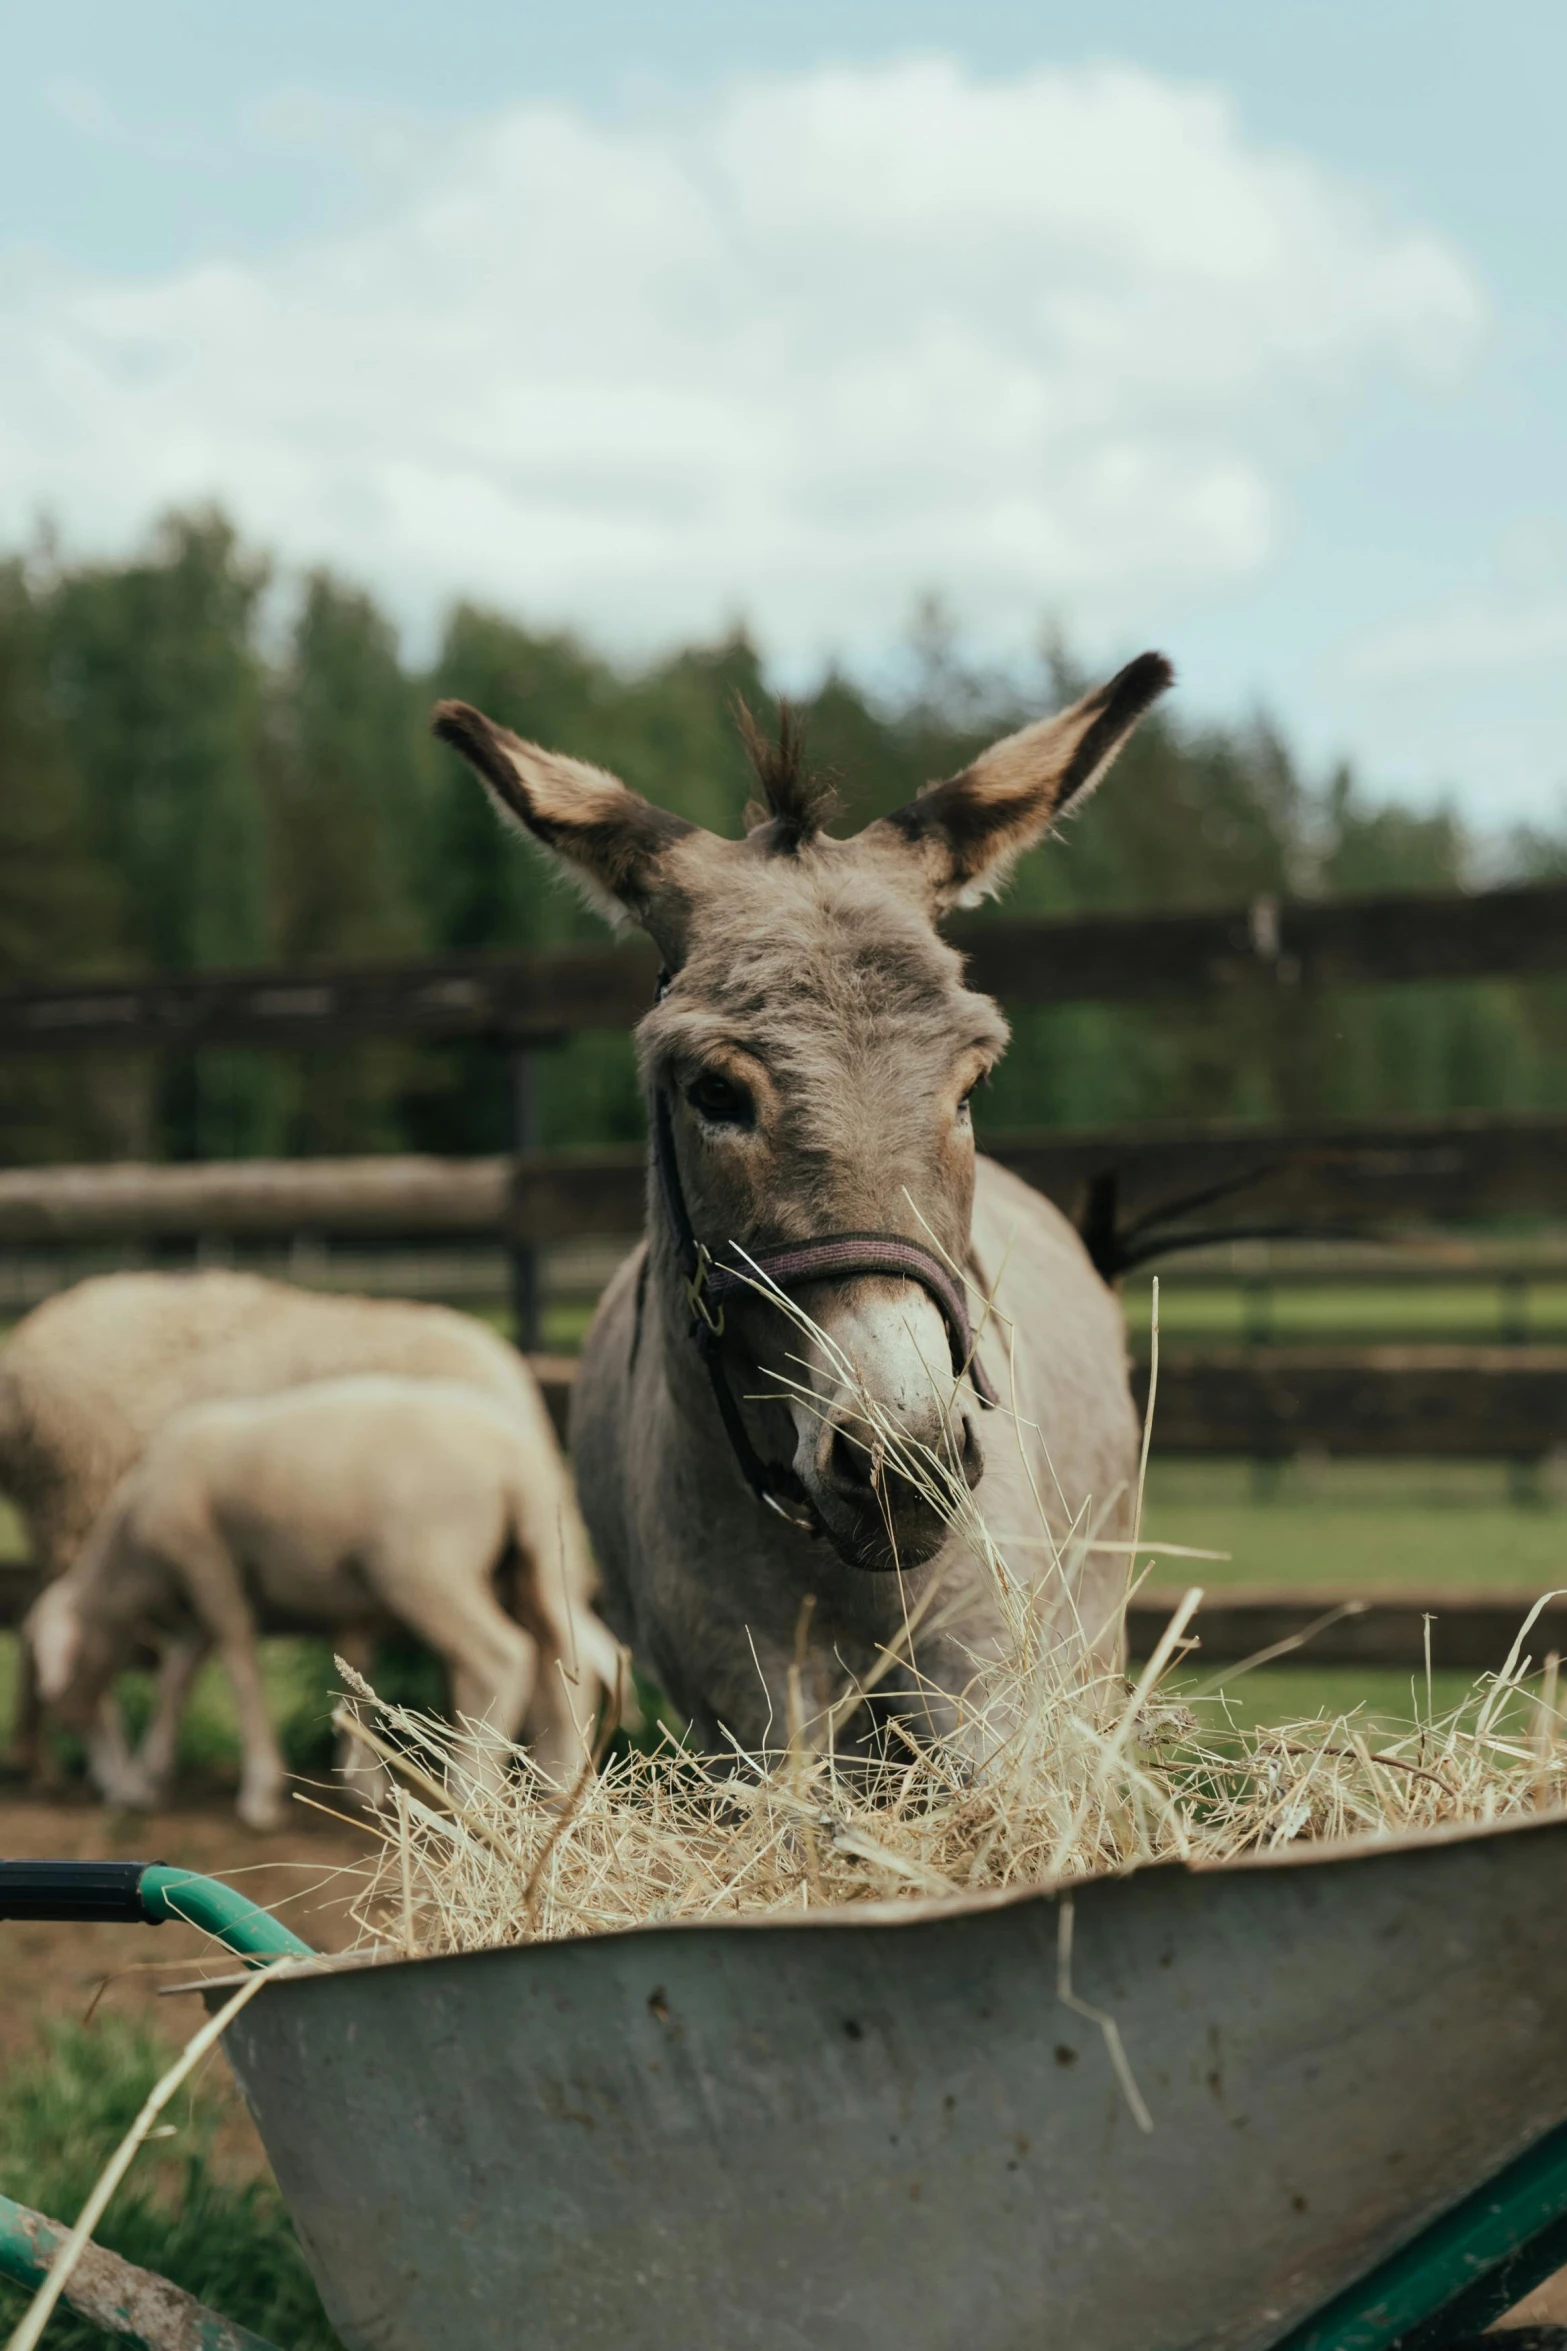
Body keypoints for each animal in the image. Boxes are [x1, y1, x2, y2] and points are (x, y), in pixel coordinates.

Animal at [27, 1372, 620, 1833]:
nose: (110, 1789)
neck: (130, 1553)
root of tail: (521, 1462)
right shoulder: (228, 1600)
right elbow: (182, 1679)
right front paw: (149, 1778)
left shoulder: (208, 1567)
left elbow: (239, 1668)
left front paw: (259, 1795)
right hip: (530, 1565)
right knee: (566, 1660)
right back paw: (558, 1797)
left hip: (428, 1568)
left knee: (501, 1656)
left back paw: (473, 1791)